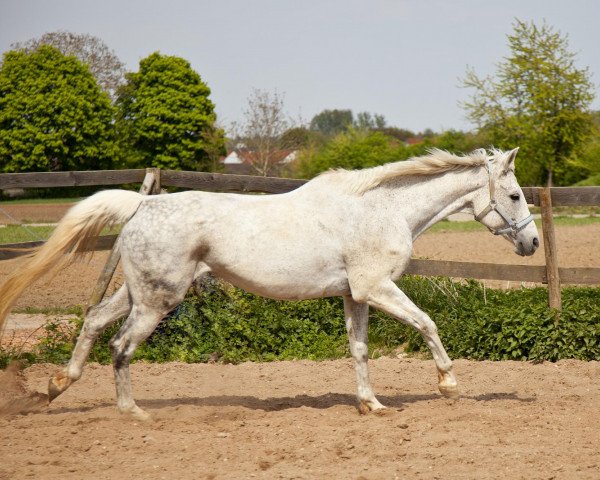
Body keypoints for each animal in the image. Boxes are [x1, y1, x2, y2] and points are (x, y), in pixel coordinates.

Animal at [0, 148, 536, 418]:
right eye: (513, 194)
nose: (531, 243)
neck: (382, 210)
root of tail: (141, 205)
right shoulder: (377, 287)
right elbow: (427, 324)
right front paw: (448, 385)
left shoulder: (354, 295)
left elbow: (360, 349)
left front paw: (371, 404)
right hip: (157, 300)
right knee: (121, 345)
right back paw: (134, 414)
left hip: (139, 291)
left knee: (93, 323)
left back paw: (55, 387)